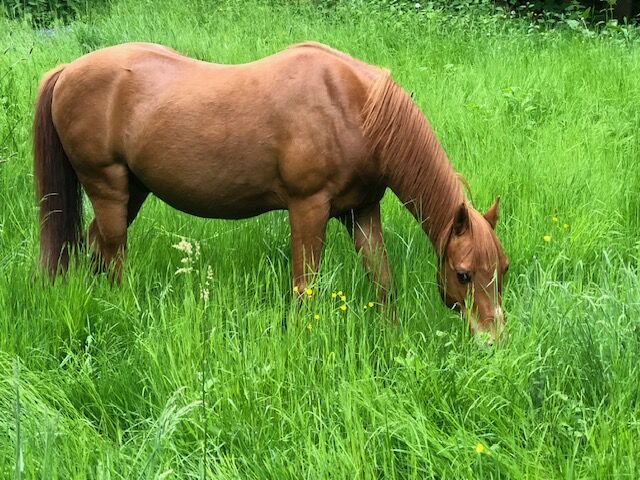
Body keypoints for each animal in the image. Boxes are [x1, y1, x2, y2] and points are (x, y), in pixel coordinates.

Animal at [33, 41, 510, 342]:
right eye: (464, 274)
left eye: (502, 270)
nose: (493, 340)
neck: (354, 108)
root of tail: (67, 71)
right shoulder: (308, 209)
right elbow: (305, 287)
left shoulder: (361, 212)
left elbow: (382, 280)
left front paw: (394, 338)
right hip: (108, 185)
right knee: (113, 253)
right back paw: (124, 309)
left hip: (133, 192)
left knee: (93, 246)